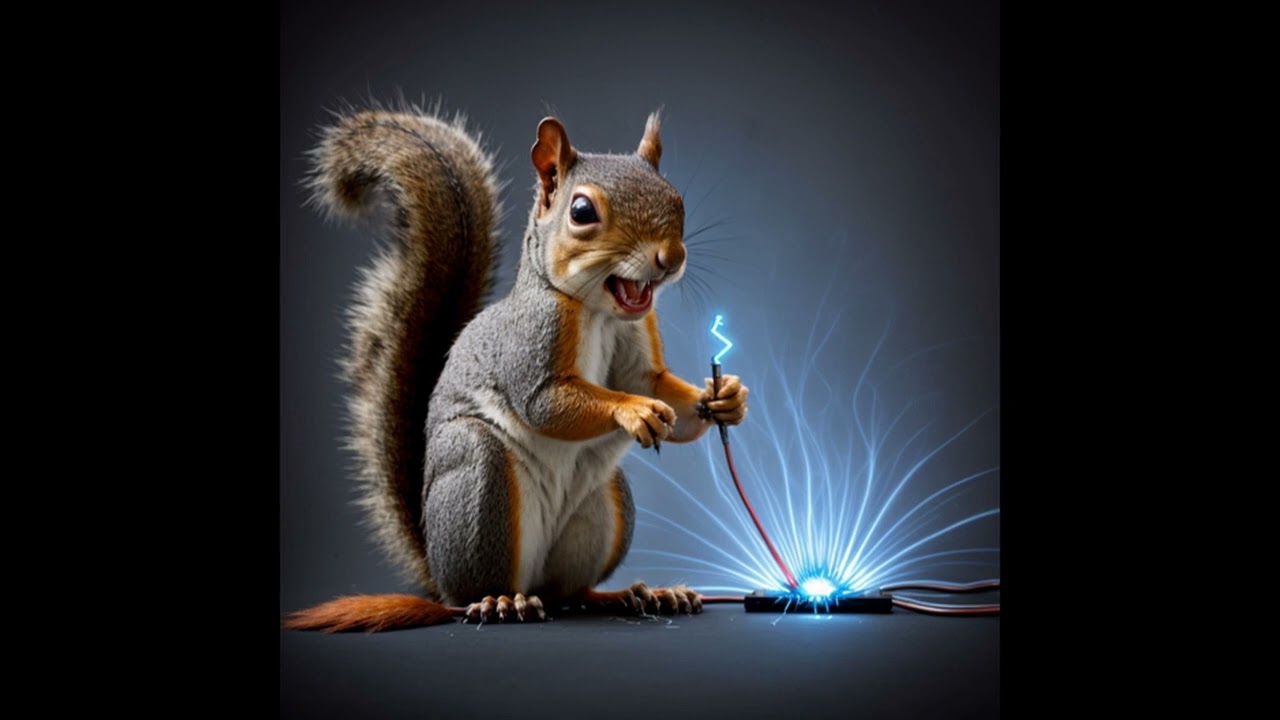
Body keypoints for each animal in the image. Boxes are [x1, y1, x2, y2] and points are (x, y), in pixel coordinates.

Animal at [285, 105, 749, 631]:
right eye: (582, 212)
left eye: (677, 200)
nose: (670, 258)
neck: (601, 313)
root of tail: (436, 571)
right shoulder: (533, 337)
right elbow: (544, 403)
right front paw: (633, 411)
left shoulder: (638, 338)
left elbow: (657, 387)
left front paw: (724, 398)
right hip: (477, 481)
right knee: (471, 593)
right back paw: (501, 603)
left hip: (604, 505)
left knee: (572, 592)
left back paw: (638, 594)